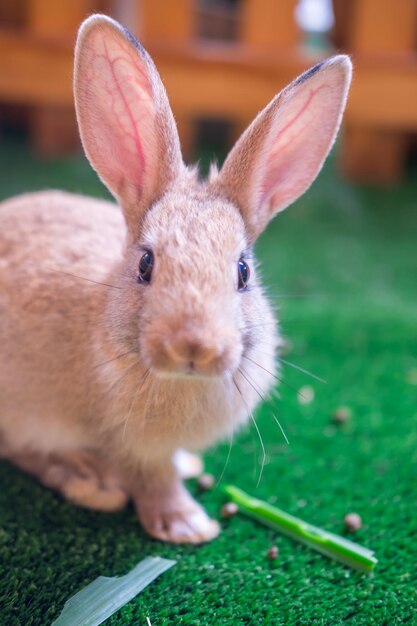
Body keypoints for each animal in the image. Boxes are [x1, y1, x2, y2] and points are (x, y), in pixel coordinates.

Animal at [0, 14, 352, 540]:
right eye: (146, 264)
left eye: (243, 272)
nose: (194, 347)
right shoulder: (128, 446)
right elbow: (152, 479)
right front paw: (188, 526)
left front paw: (187, 478)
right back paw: (89, 481)